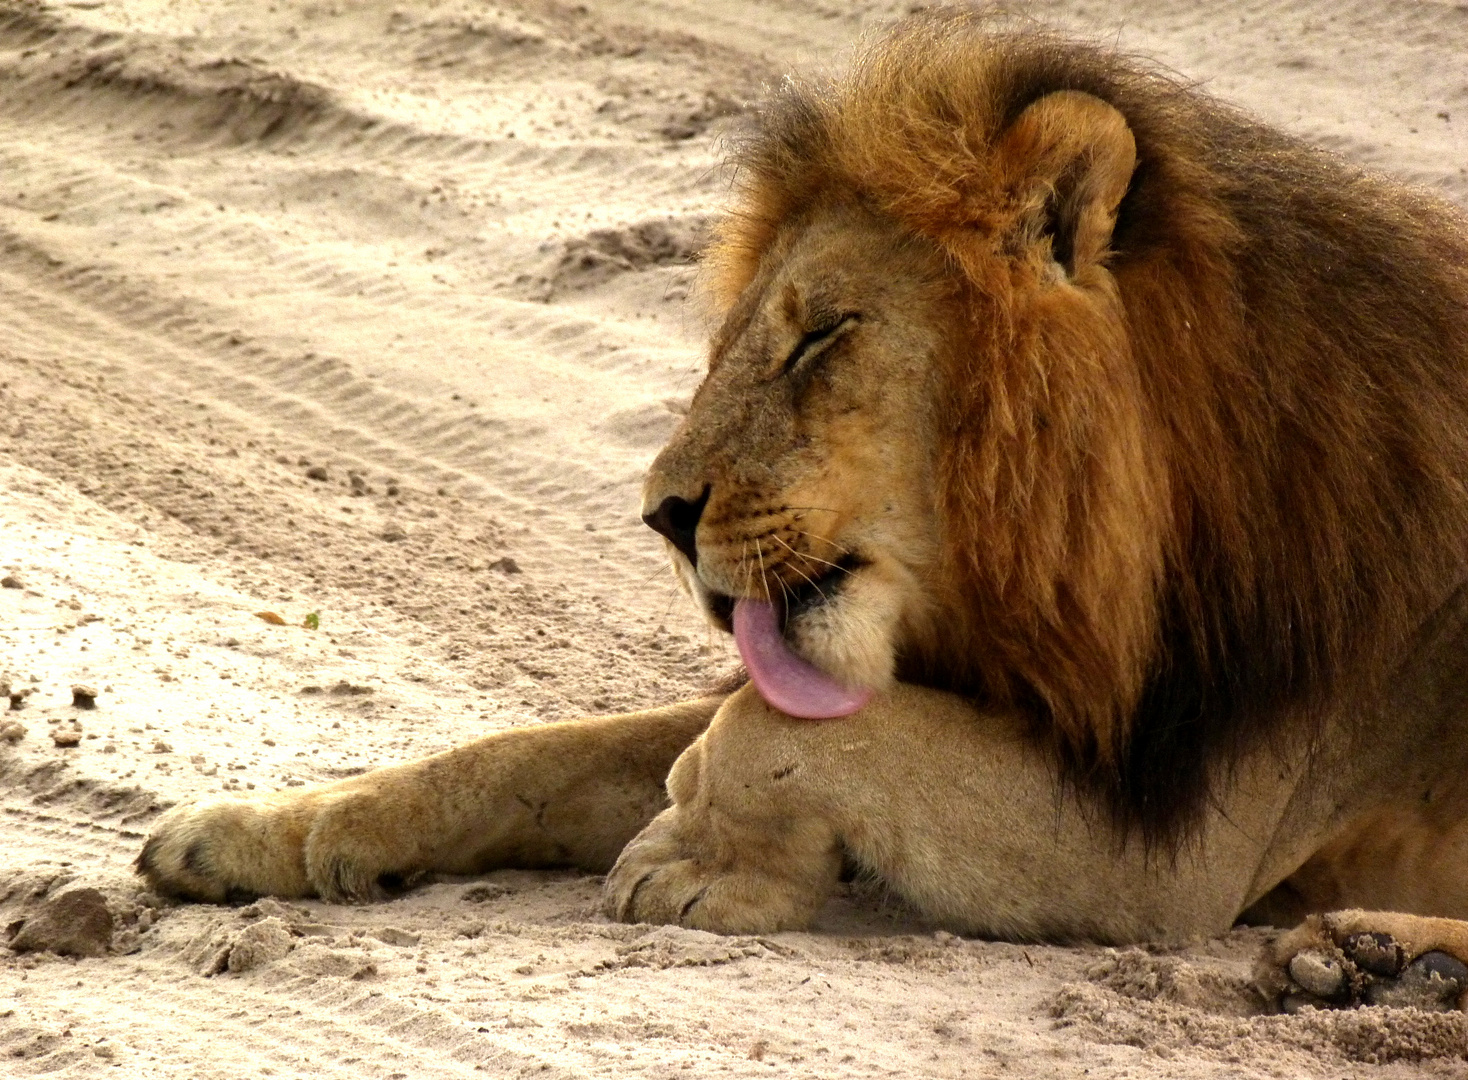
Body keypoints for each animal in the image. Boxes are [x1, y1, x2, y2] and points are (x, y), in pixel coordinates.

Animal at [140, 10, 1468, 1009]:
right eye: (730, 344)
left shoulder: (1173, 845)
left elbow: (762, 730)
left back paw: (1372, 957)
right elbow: (537, 749)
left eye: (821, 335)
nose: (662, 517)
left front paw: (693, 858)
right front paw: (253, 832)